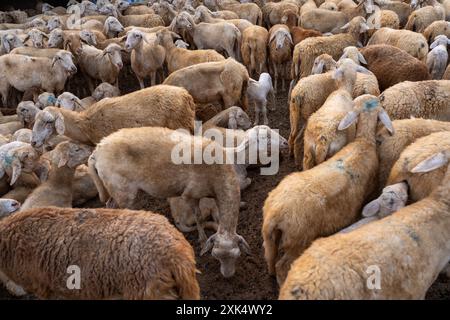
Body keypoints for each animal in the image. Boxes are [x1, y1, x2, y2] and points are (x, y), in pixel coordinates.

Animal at [86, 125, 251, 278]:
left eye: (237, 255)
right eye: (215, 256)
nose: (227, 276)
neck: (217, 177)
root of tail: (96, 152)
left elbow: (217, 213)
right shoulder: (190, 195)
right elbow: (198, 217)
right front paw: (202, 240)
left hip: (115, 189)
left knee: (110, 205)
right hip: (123, 190)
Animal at [262, 95, 392, 284]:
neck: (363, 142)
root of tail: (275, 213)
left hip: (270, 236)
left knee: (270, 257)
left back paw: (271, 273)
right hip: (297, 241)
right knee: (282, 266)